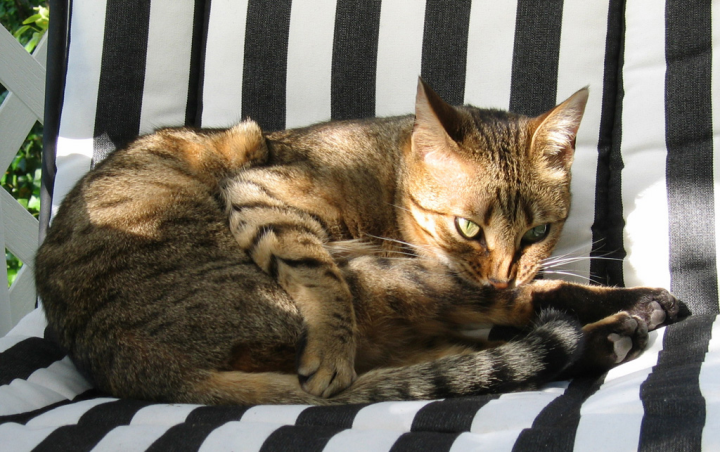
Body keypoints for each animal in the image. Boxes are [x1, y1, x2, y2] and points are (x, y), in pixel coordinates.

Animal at [36, 79, 680, 404]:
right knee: (514, 318)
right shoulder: (259, 192)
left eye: (539, 232)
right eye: (468, 227)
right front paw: (330, 350)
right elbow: (317, 276)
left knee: (490, 339)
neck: (387, 173)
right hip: (380, 274)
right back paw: (632, 315)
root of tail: (147, 371)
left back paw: (619, 326)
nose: (501, 269)